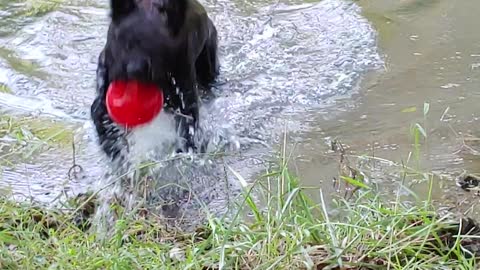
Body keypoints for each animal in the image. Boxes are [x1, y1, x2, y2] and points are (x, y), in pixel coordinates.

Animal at [90, 0, 219, 161]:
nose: (135, 70)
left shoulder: (185, 96)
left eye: (159, 47)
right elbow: (100, 113)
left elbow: (188, 128)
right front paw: (113, 146)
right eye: (124, 41)